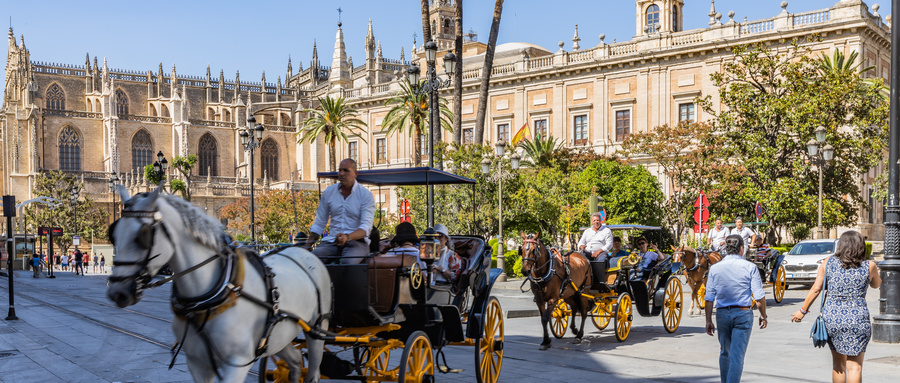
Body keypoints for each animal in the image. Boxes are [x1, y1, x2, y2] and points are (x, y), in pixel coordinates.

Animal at [106, 184, 330, 382]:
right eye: (113, 233)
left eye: (142, 235)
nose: (118, 292)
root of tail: (302, 250)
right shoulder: (197, 364)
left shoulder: (238, 363)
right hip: (280, 335)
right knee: (295, 362)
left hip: (317, 330)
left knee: (313, 372)